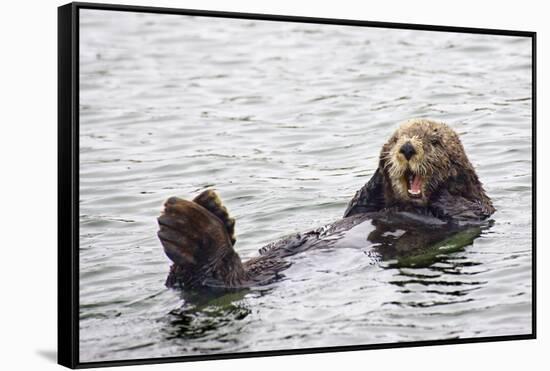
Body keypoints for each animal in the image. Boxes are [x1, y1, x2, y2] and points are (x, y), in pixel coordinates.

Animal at [157, 119, 498, 290]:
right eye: (397, 137)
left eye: (435, 141)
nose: (407, 148)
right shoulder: (364, 205)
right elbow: (358, 204)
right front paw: (380, 168)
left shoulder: (476, 209)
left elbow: (462, 207)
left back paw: (197, 229)